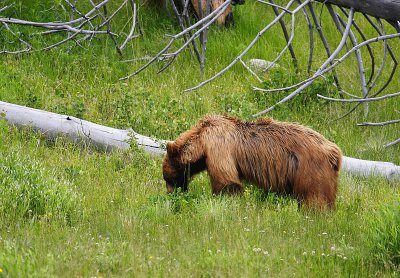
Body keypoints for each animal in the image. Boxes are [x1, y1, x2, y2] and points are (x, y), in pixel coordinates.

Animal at [161, 114, 342, 208]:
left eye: (168, 178)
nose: (171, 193)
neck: (201, 143)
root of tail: (334, 151)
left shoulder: (219, 149)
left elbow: (226, 181)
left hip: (310, 170)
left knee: (315, 197)